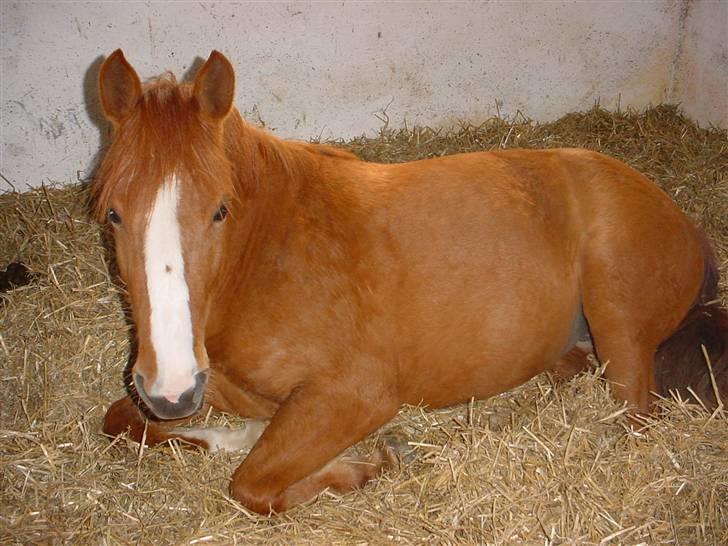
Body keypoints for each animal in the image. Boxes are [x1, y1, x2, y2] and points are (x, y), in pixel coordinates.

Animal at [96, 49, 728, 515]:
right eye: (114, 213)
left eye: (220, 210)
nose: (173, 388)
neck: (267, 259)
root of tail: (683, 219)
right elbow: (125, 421)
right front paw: (242, 435)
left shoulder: (357, 394)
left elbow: (251, 486)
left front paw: (369, 465)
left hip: (616, 323)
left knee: (636, 416)